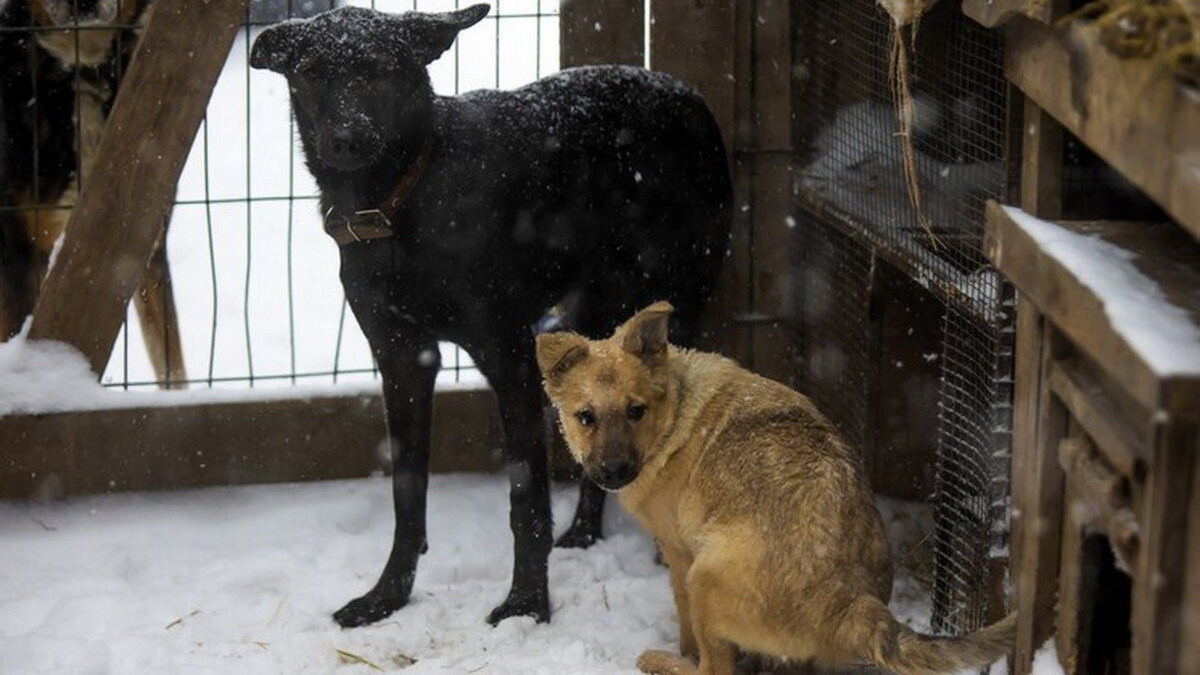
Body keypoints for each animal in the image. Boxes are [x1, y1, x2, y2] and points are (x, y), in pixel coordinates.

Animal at [253, 3, 729, 624]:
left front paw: (526, 606)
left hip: (684, 297)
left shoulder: (509, 358)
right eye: (310, 72)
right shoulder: (401, 359)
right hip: (591, 311)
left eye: (384, 70)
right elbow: (407, 493)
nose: (349, 138)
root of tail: (685, 91)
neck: (404, 200)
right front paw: (387, 596)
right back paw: (584, 532)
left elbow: (525, 500)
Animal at [535, 300, 1012, 672]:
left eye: (636, 411)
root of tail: (845, 596)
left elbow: (686, 629)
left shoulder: (678, 552)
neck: (675, 411)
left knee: (714, 669)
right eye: (585, 418)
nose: (614, 472)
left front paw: (681, 652)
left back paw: (662, 663)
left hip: (703, 574)